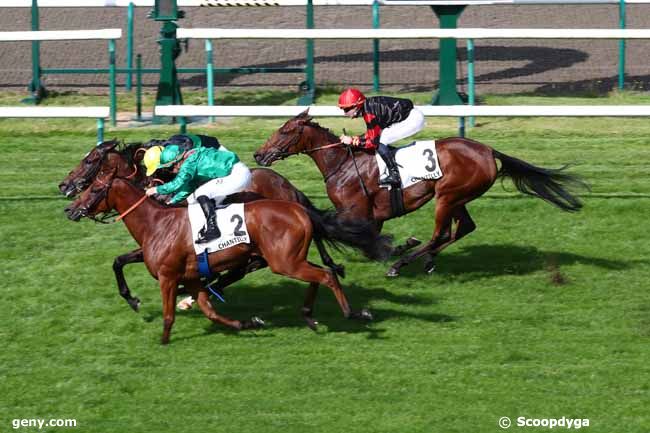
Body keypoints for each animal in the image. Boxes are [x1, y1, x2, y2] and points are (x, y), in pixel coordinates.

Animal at [58, 140, 346, 308]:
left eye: (90, 161)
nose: (64, 186)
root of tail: (289, 188)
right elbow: (119, 261)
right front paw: (133, 298)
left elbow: (121, 261)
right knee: (249, 266)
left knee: (249, 266)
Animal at [64, 166, 390, 344]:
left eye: (94, 189)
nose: (69, 207)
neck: (155, 221)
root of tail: (298, 207)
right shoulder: (190, 275)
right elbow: (120, 262)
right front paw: (247, 323)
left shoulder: (168, 276)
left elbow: (170, 314)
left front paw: (164, 340)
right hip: (290, 260)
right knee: (318, 275)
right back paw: (309, 316)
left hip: (283, 262)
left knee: (325, 274)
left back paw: (352, 313)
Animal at [253, 109, 588, 276]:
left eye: (284, 131)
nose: (259, 154)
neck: (342, 163)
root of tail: (487, 150)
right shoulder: (372, 215)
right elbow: (359, 238)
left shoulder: (356, 211)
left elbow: (354, 236)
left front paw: (396, 250)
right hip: (457, 197)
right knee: (463, 228)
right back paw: (427, 260)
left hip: (448, 196)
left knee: (441, 233)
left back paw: (402, 265)